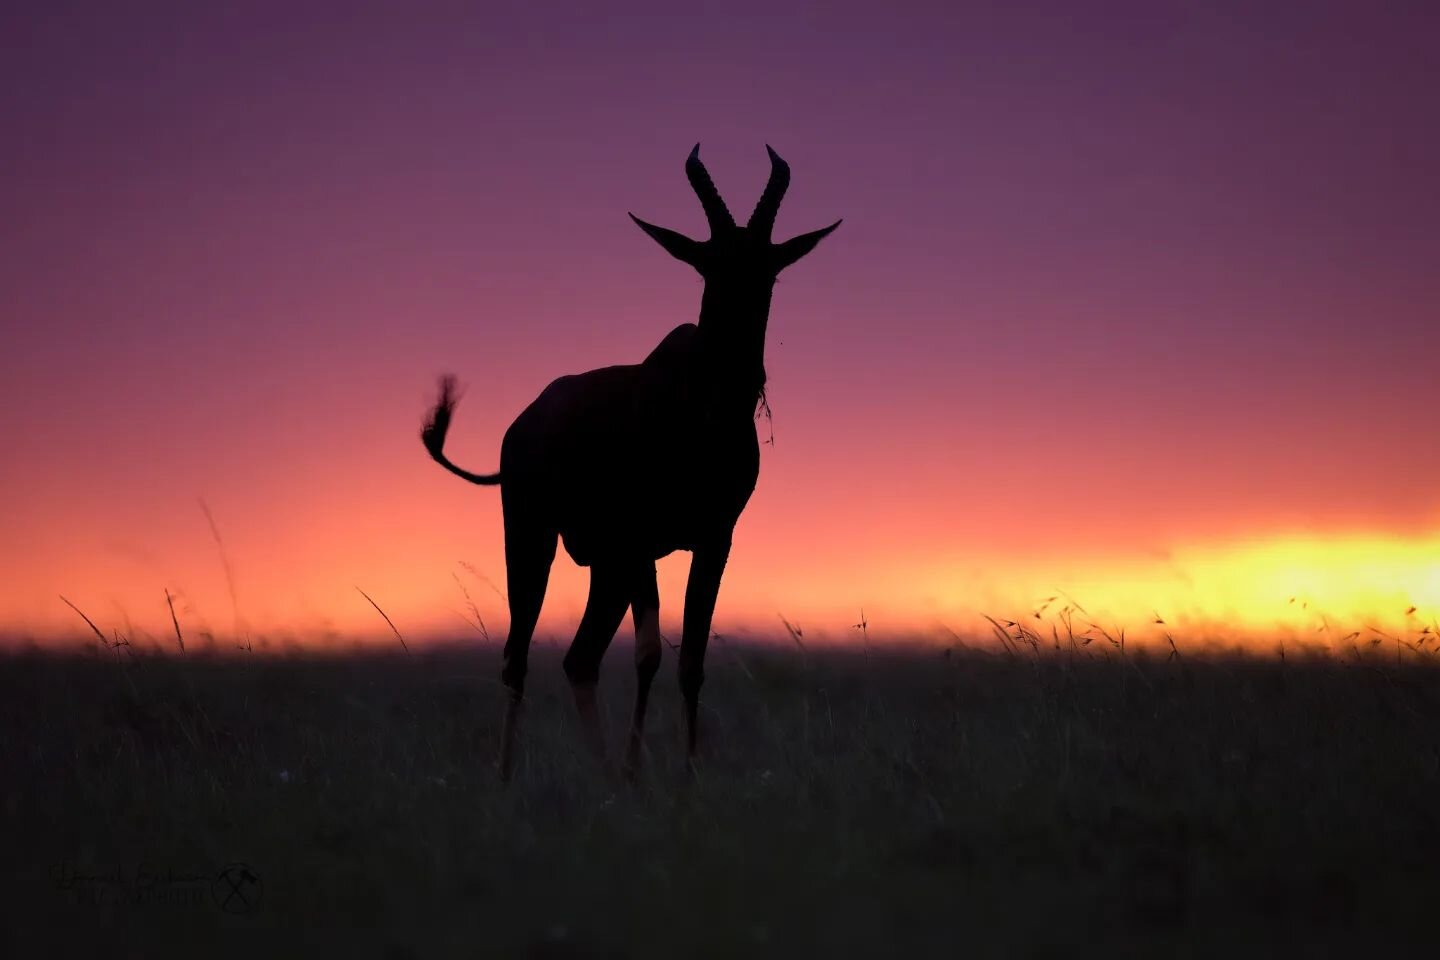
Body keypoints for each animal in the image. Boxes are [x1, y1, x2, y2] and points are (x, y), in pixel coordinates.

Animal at [420, 142, 840, 777]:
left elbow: (690, 659)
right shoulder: (642, 542)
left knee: (579, 658)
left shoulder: (714, 540)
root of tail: (522, 426)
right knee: (518, 656)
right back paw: (510, 774)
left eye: (769, 269)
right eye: (707, 265)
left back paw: (601, 768)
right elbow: (647, 655)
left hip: (606, 566)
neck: (696, 409)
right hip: (534, 537)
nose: (744, 376)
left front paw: (683, 775)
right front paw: (640, 768)